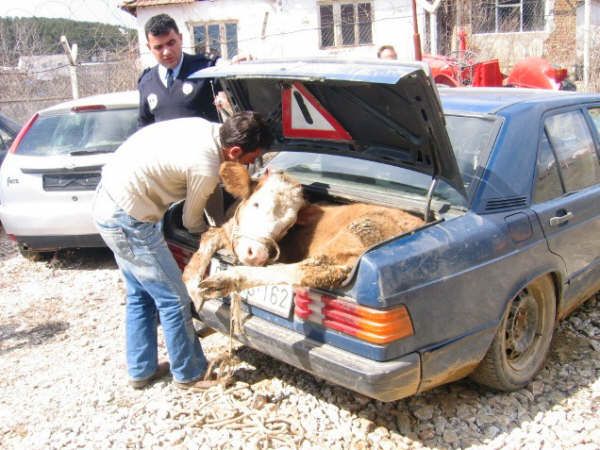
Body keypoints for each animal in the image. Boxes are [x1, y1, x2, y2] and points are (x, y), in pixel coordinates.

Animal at [183, 162, 422, 306]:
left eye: (289, 225)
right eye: (256, 203)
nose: (256, 254)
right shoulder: (228, 230)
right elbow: (208, 236)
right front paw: (192, 283)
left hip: (359, 231)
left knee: (309, 270)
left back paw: (228, 278)